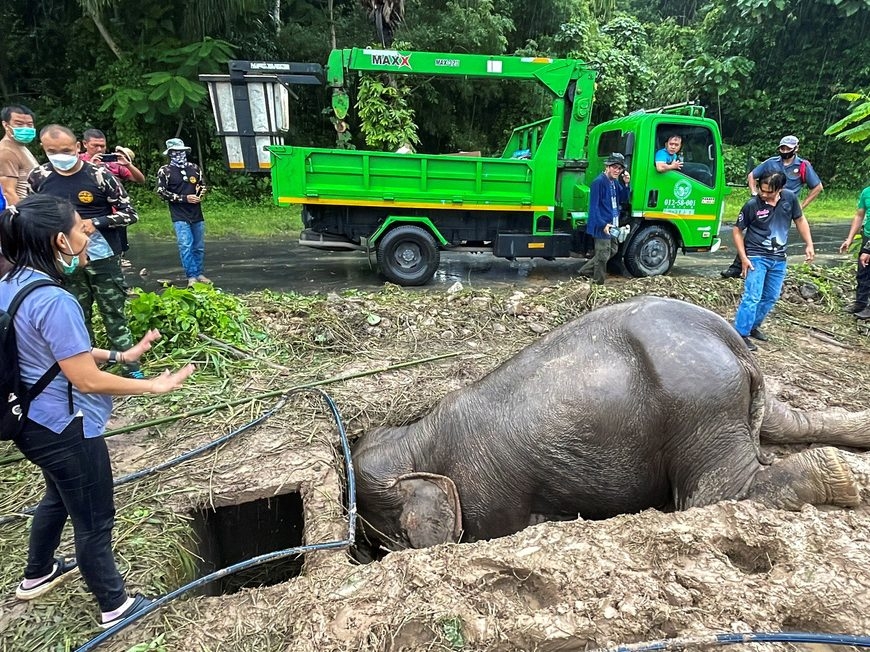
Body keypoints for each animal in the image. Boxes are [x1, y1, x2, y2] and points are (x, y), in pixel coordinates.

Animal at [352, 295, 870, 550]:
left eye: (386, 538)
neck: (416, 437)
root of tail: (730, 337)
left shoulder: (488, 495)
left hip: (699, 409)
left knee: (713, 495)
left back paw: (840, 475)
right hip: (730, 400)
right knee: (790, 423)